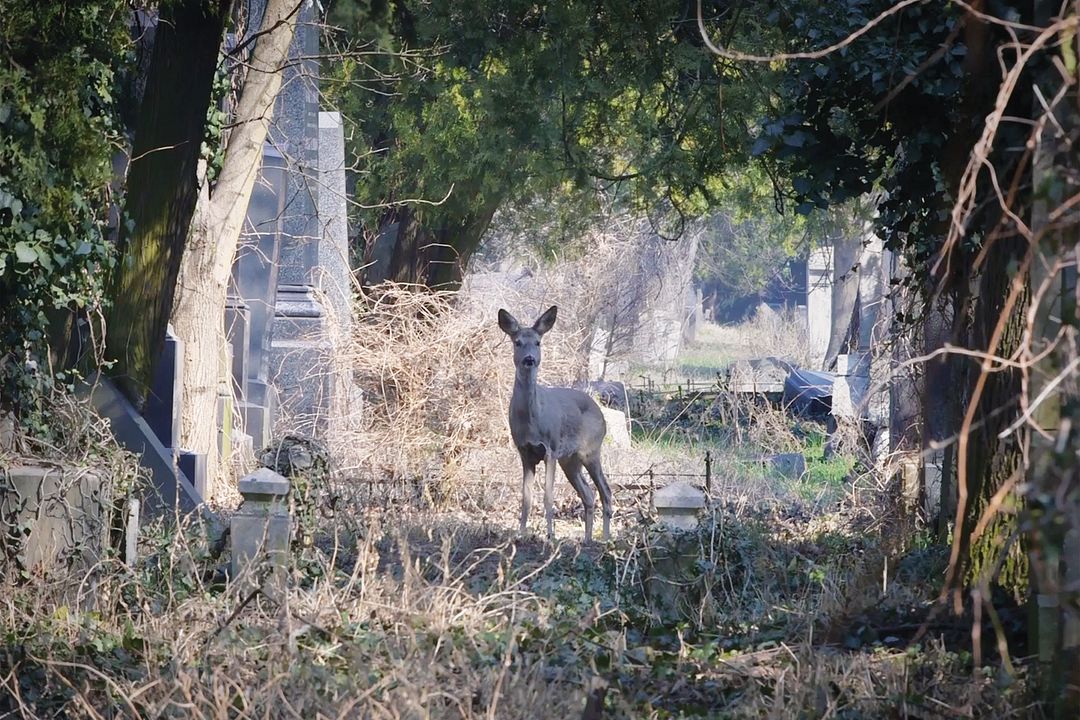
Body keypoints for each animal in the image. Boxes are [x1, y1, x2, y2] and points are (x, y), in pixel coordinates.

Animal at [494, 306, 613, 539]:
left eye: (538, 342)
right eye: (517, 342)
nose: (529, 359)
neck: (532, 420)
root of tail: (600, 411)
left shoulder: (551, 448)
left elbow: (548, 496)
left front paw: (550, 536)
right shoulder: (525, 452)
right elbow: (526, 498)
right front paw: (521, 535)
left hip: (590, 450)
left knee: (605, 490)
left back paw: (604, 538)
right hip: (570, 460)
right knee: (588, 494)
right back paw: (587, 539)